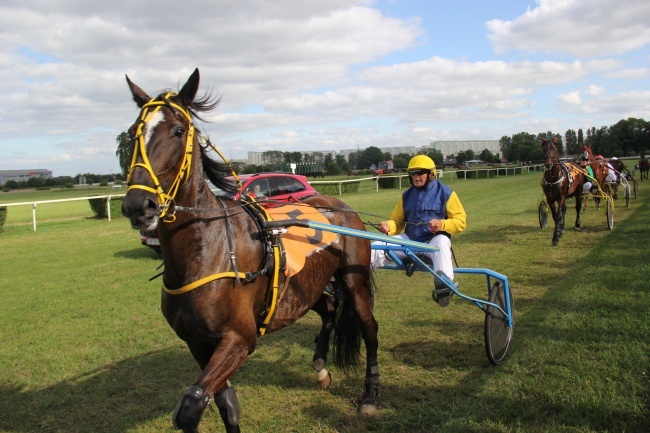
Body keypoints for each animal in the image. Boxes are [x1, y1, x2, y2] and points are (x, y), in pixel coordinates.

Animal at [120, 69, 380, 430]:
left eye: (177, 131)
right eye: (134, 133)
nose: (137, 205)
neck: (207, 250)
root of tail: (342, 207)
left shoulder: (239, 339)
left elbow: (190, 406)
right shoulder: (197, 342)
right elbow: (225, 404)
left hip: (353, 280)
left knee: (369, 328)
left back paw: (369, 395)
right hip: (302, 287)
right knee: (328, 309)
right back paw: (320, 367)